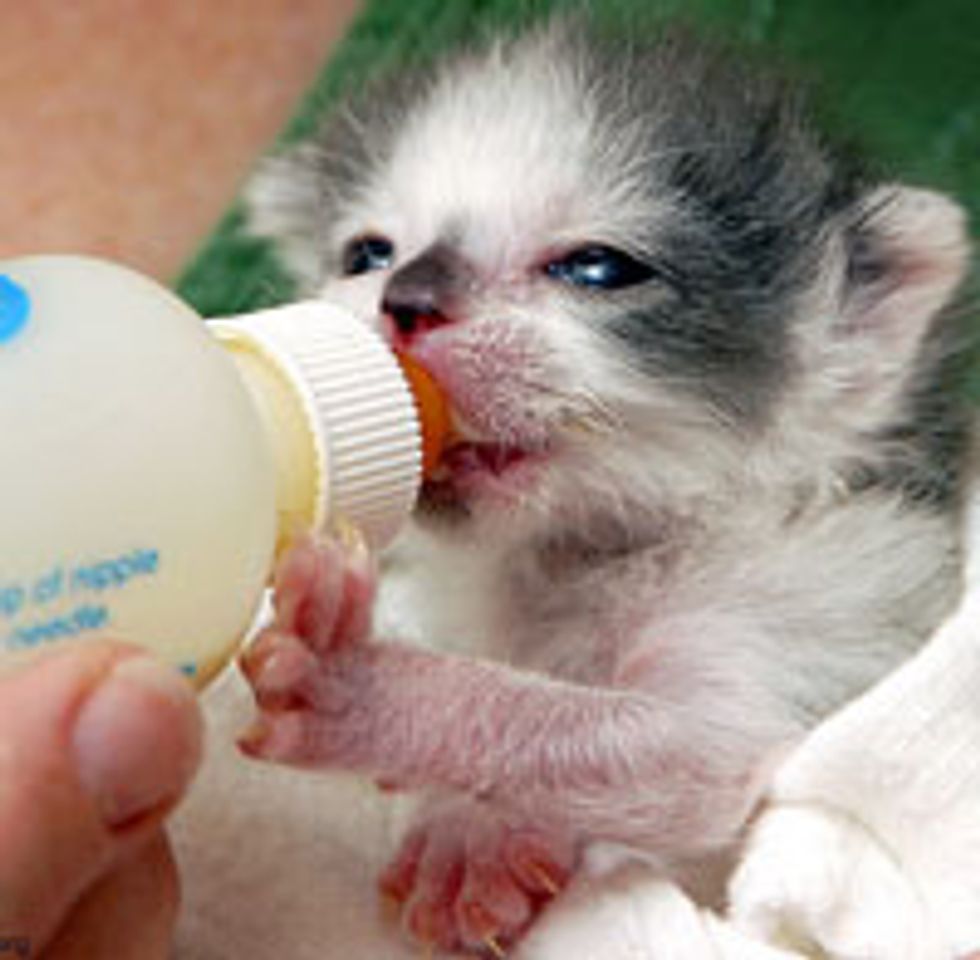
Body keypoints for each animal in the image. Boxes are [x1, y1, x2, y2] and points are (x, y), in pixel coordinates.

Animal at [237, 16, 972, 960]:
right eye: (367, 252)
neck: (580, 560)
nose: (406, 297)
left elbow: (670, 753)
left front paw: (365, 692)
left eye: (596, 270)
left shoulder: (803, 617)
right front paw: (465, 826)